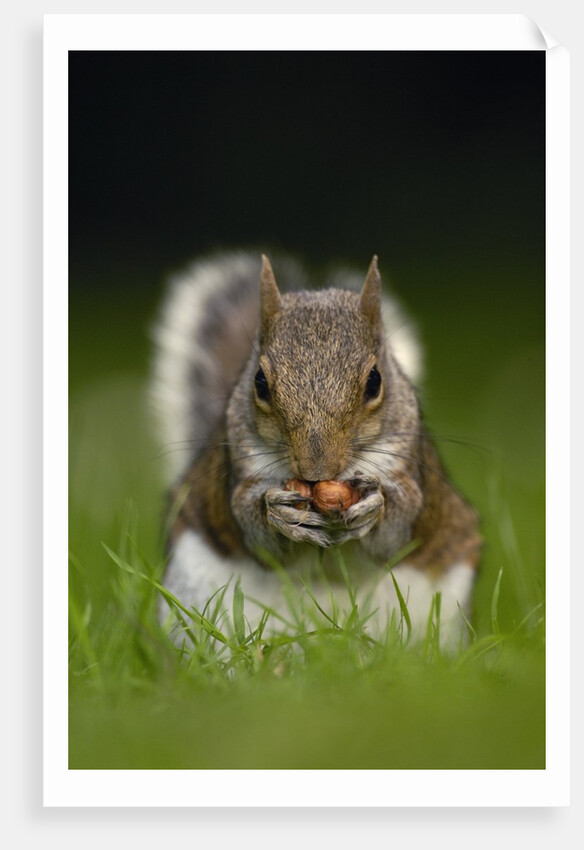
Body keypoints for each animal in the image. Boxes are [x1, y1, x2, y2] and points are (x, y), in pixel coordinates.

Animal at [150, 251, 481, 649]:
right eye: (259, 382)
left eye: (375, 381)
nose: (316, 470)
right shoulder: (240, 467)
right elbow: (256, 532)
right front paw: (276, 512)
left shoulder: (407, 467)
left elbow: (394, 535)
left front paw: (377, 505)